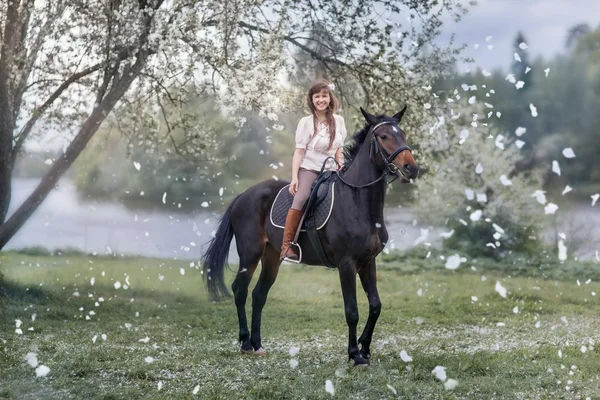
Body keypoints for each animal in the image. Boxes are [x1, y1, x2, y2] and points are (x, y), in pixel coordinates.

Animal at [202, 106, 418, 366]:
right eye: (384, 136)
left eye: (403, 134)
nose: (411, 168)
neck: (357, 201)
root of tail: (243, 195)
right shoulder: (347, 264)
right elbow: (352, 311)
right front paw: (355, 355)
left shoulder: (368, 262)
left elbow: (375, 305)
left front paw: (365, 348)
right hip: (250, 254)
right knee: (240, 290)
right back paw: (245, 343)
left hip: (272, 258)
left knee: (259, 294)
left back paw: (257, 344)